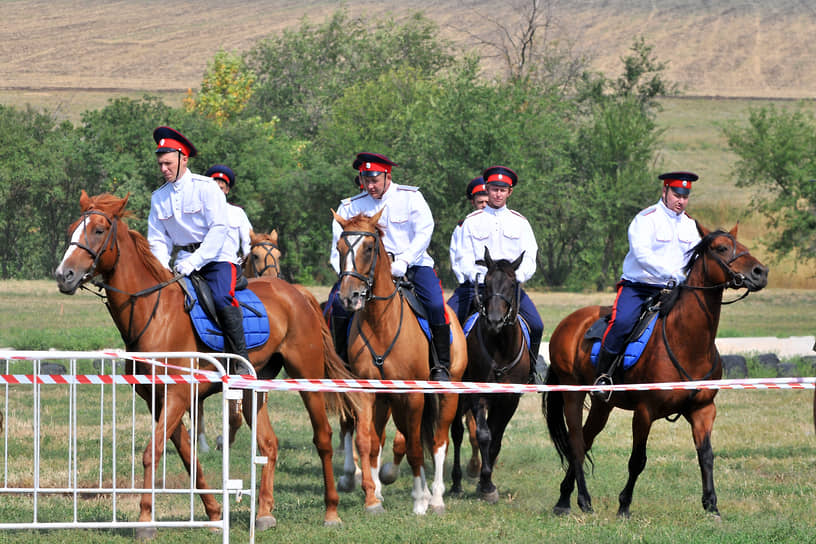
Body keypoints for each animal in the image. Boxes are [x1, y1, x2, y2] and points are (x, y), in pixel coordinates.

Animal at [55, 190, 362, 536]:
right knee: (268, 444)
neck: (154, 314)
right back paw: (264, 513)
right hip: (252, 390)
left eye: (98, 230)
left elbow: (152, 452)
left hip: (307, 377)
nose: (64, 275)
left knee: (323, 438)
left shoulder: (176, 397)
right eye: (72, 229)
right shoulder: (157, 401)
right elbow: (188, 456)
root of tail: (297, 293)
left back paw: (331, 510)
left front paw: (145, 519)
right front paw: (214, 514)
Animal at [334, 208, 468, 516]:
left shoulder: (414, 394)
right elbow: (367, 441)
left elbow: (416, 446)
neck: (381, 322)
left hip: (446, 395)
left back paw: (436, 497)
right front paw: (372, 497)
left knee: (439, 442)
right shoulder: (369, 393)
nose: (349, 297)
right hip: (389, 401)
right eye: (340, 247)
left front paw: (419, 501)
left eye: (369, 248)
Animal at [450, 246, 532, 502]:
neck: (500, 348)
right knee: (457, 433)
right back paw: (456, 483)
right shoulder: (478, 396)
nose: (495, 320)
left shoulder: (509, 400)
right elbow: (484, 435)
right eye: (485, 282)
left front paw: (486, 481)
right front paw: (485, 484)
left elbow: (496, 439)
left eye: (512, 283)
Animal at [544, 224, 768, 520]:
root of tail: (568, 323)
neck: (687, 342)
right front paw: (624, 505)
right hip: (573, 394)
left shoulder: (703, 410)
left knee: (586, 439)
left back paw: (563, 498)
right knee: (577, 443)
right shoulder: (644, 412)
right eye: (721, 248)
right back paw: (581, 499)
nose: (760, 272)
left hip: (603, 405)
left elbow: (706, 456)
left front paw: (711, 505)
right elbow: (637, 460)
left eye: (742, 245)